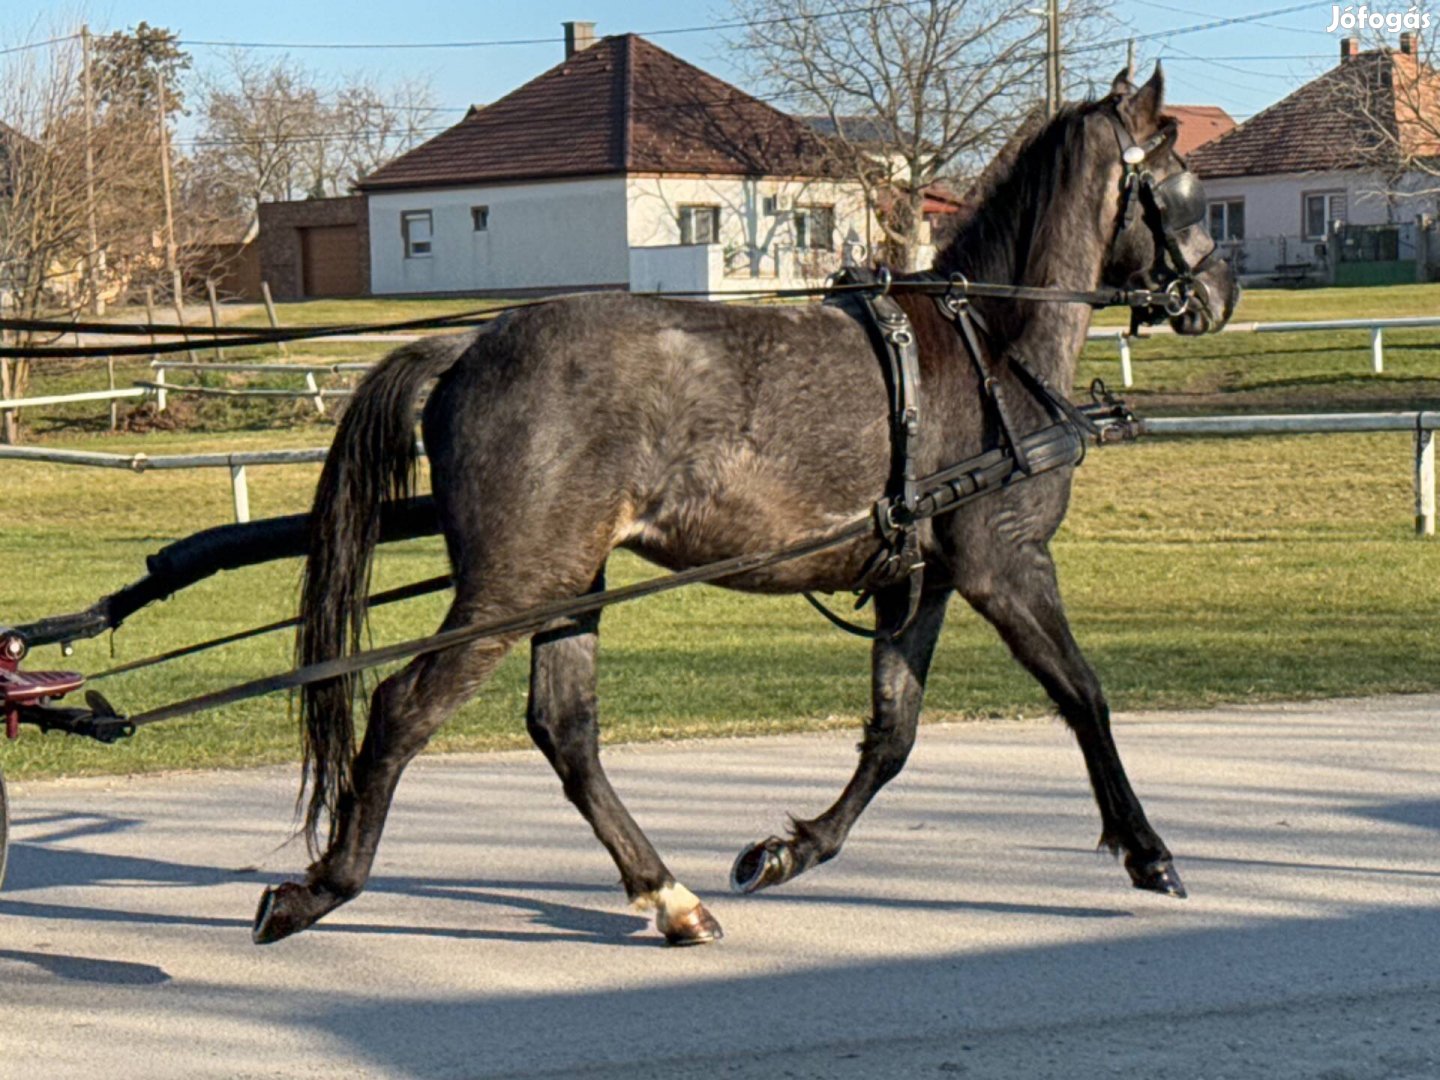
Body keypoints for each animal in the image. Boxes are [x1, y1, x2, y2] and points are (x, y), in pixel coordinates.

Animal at [250, 67, 1238, 944]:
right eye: (1184, 183)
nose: (1219, 294)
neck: (990, 344)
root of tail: (464, 350)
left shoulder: (920, 582)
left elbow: (894, 732)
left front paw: (793, 849)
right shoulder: (1006, 563)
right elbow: (1083, 693)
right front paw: (1148, 851)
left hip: (570, 581)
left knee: (565, 728)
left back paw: (669, 896)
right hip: (516, 583)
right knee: (403, 709)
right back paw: (322, 887)